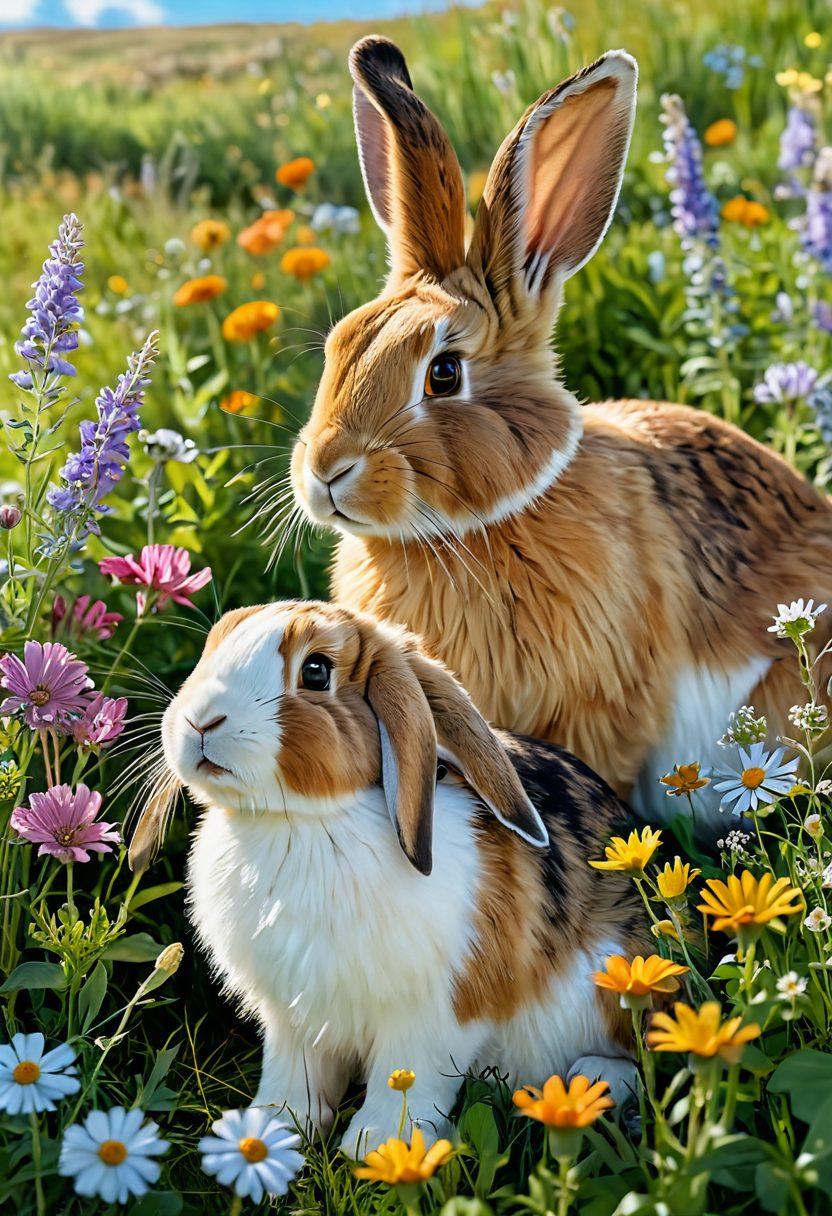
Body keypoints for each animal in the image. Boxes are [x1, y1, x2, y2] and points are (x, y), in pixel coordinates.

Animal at [149, 599, 648, 1156]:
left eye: (315, 671)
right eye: (213, 644)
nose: (200, 720)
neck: (305, 820)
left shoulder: (431, 1017)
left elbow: (407, 1079)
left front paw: (380, 1148)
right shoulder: (294, 1019)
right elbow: (293, 1075)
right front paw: (270, 1131)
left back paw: (590, 1080)